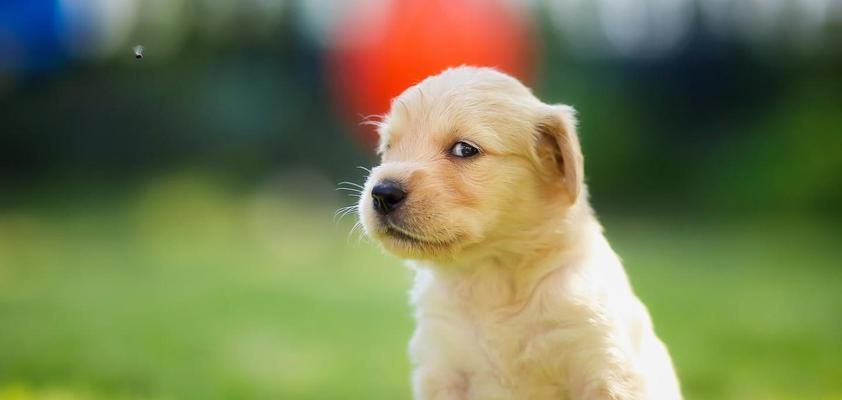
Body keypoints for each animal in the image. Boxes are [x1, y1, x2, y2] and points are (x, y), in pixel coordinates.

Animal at [358, 66, 680, 400]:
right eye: (388, 147)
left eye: (464, 149)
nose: (382, 193)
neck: (493, 275)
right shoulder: (442, 366)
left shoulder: (604, 368)